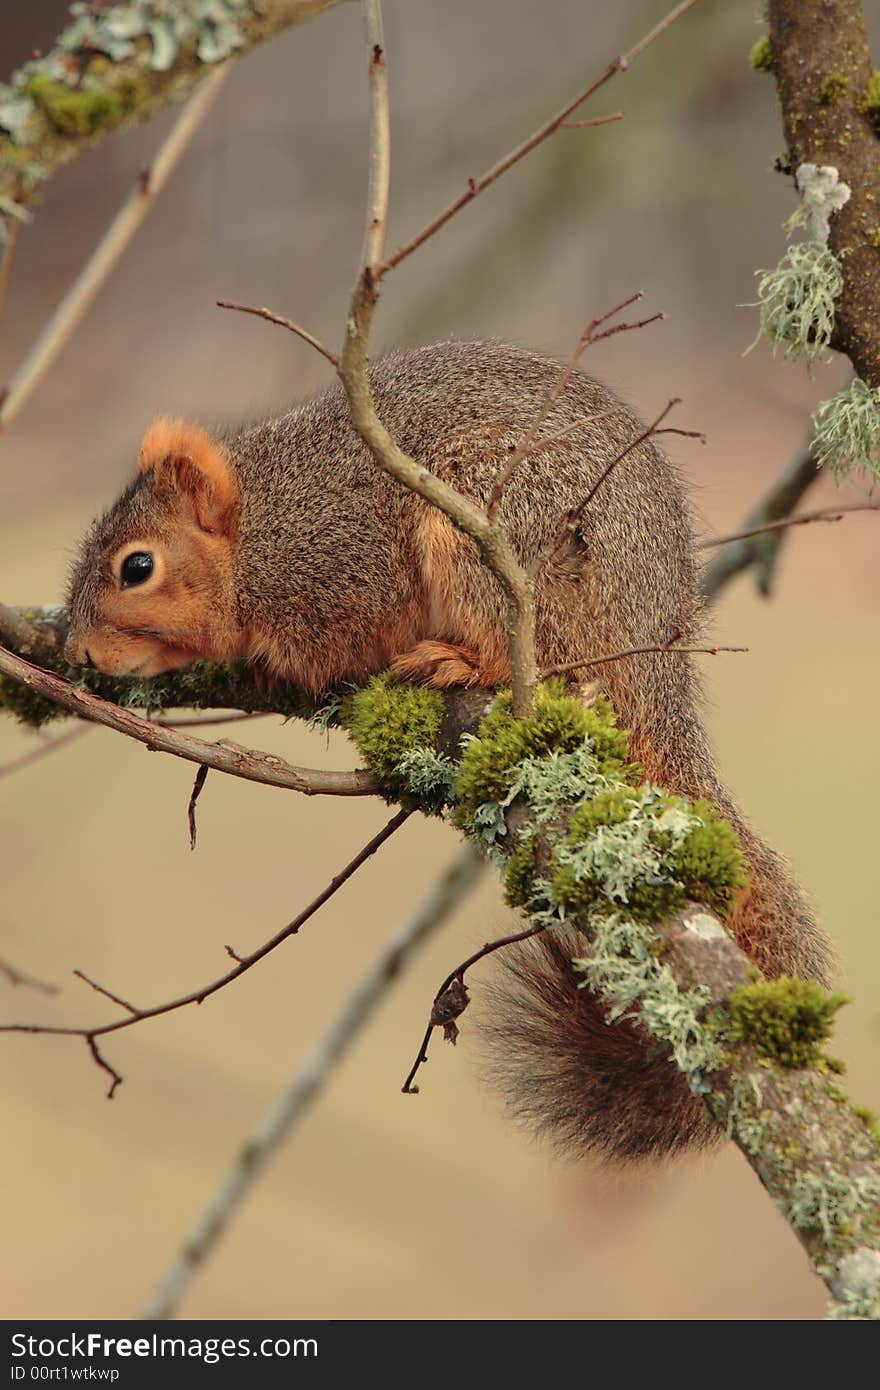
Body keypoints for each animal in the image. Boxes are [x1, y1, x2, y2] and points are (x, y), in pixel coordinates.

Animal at [63, 339, 828, 1162]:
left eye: (136, 568)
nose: (77, 652)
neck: (257, 530)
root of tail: (654, 658)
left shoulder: (341, 565)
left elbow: (339, 637)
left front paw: (283, 662)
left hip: (499, 532)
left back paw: (458, 661)